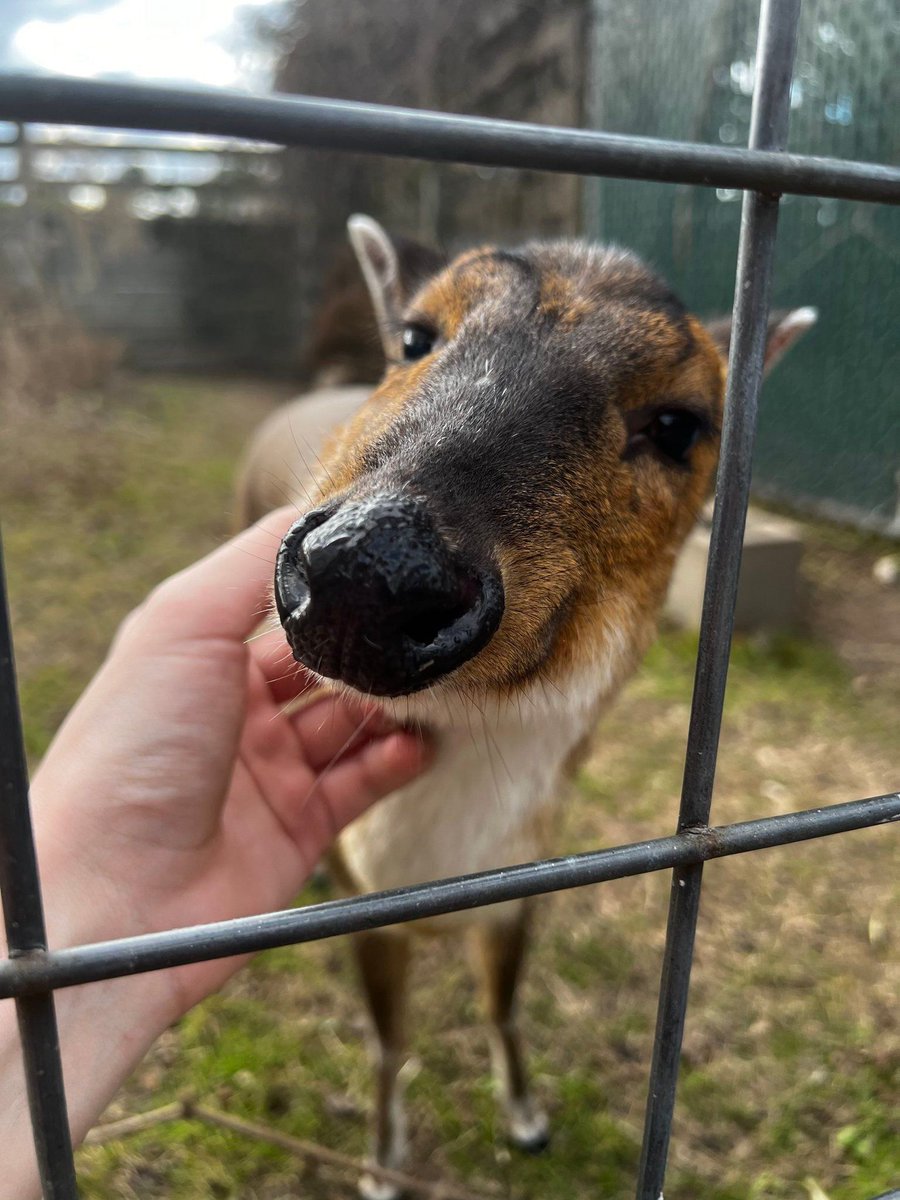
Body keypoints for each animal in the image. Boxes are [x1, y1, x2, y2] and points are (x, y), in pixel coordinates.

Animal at [237, 215, 814, 1198]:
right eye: (414, 337)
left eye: (678, 423)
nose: (369, 565)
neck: (442, 873)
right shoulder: (368, 903)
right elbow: (387, 1040)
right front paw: (382, 1166)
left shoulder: (531, 876)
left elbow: (505, 1000)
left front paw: (528, 1117)